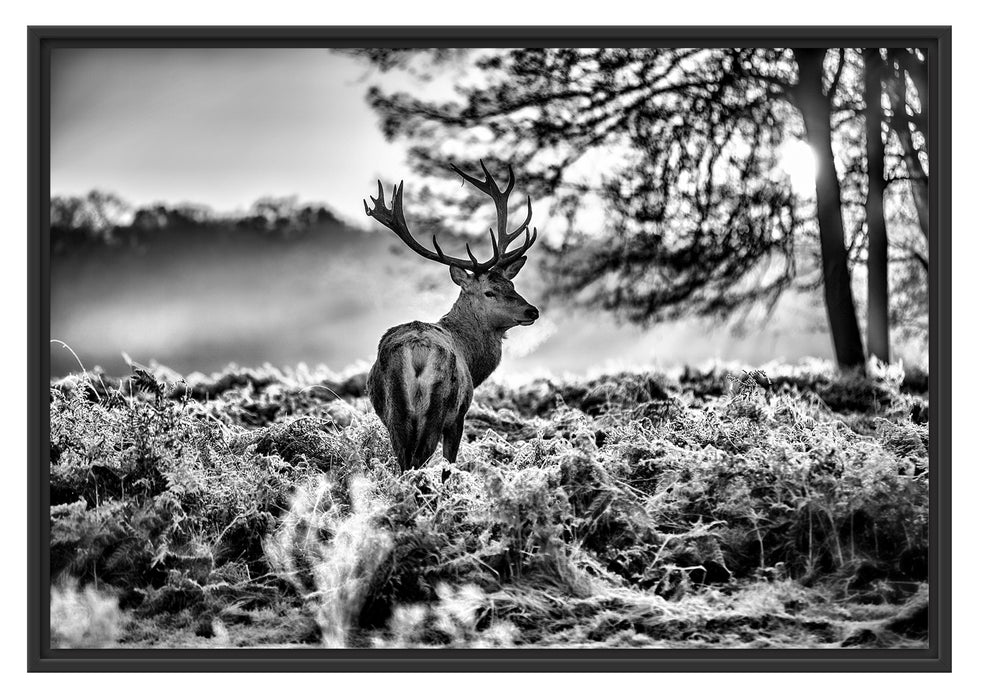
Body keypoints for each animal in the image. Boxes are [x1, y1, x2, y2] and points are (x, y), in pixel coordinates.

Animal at [366, 161, 540, 474]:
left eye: (512, 285)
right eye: (489, 292)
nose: (532, 310)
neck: (471, 356)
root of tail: (417, 353)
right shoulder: (459, 415)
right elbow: (451, 459)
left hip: (394, 410)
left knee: (404, 461)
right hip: (439, 407)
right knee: (420, 459)